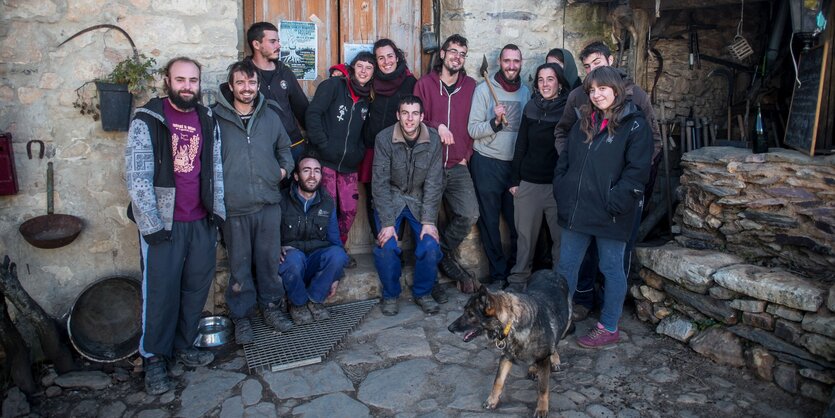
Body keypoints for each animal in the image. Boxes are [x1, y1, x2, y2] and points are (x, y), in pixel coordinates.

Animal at [448, 270, 572, 416]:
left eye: (471, 314)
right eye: (464, 312)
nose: (449, 328)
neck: (512, 323)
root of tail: (550, 271)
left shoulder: (543, 359)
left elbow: (542, 388)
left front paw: (542, 409)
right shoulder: (506, 357)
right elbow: (498, 381)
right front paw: (492, 401)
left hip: (566, 324)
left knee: (555, 342)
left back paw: (555, 359)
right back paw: (533, 368)